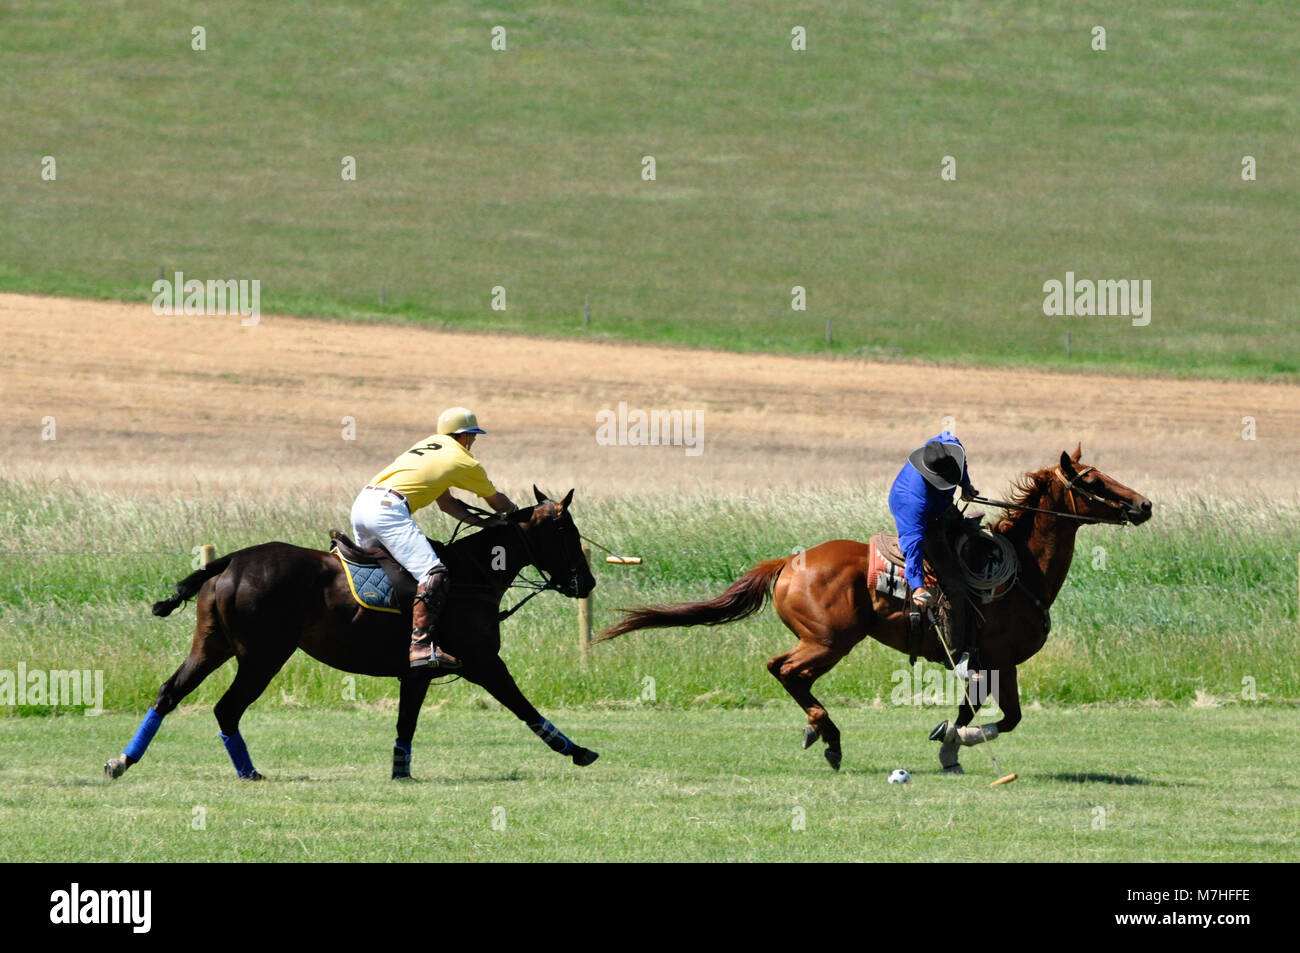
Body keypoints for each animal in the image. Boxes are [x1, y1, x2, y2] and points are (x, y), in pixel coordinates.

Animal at [105, 486, 595, 774]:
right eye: (568, 532)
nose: (586, 582)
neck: (474, 574)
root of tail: (229, 561)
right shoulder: (483, 661)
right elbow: (523, 706)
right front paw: (577, 750)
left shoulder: (417, 673)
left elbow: (406, 722)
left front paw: (401, 772)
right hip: (263, 656)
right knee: (227, 708)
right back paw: (248, 771)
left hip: (212, 646)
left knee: (169, 692)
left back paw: (123, 760)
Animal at [595, 447, 1154, 774]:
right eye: (1093, 482)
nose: (1144, 504)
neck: (1020, 571)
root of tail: (790, 562)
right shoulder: (992, 660)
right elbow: (989, 716)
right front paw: (956, 740)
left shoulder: (996, 663)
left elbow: (995, 714)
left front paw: (951, 747)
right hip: (828, 641)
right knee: (784, 670)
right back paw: (829, 737)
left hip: (825, 642)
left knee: (789, 673)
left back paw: (817, 730)